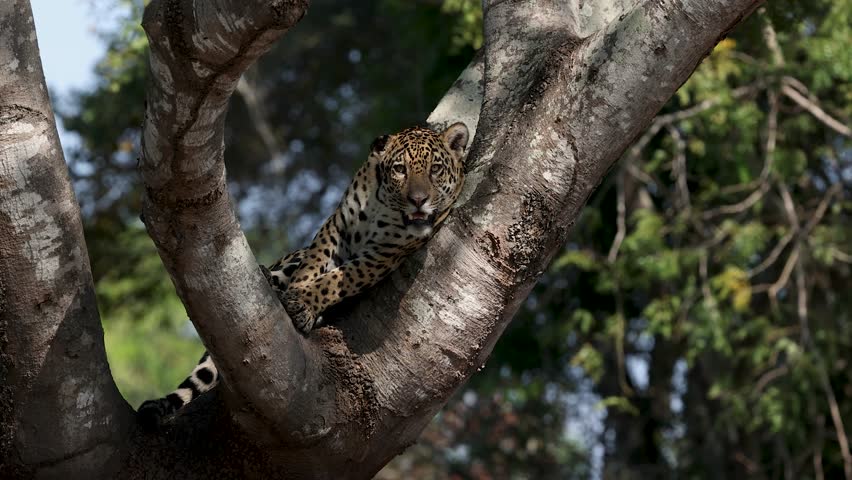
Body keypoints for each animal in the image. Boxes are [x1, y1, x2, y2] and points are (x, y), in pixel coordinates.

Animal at [137, 122, 470, 428]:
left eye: (435, 170)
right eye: (400, 170)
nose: (418, 200)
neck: (386, 207)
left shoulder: (384, 254)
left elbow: (338, 279)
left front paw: (304, 304)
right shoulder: (337, 224)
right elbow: (314, 262)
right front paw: (296, 294)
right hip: (291, 256)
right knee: (286, 267)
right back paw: (269, 278)